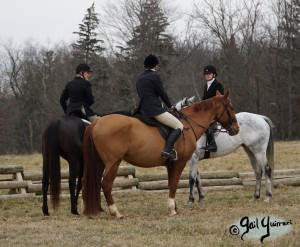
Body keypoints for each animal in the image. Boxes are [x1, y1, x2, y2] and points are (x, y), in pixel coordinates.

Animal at [81, 90, 239, 216]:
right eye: (231, 107)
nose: (236, 129)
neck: (188, 124)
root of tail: (96, 123)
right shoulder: (181, 161)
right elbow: (176, 183)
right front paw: (172, 210)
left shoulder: (171, 164)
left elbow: (171, 183)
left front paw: (174, 207)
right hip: (113, 162)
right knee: (106, 184)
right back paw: (116, 212)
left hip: (101, 162)